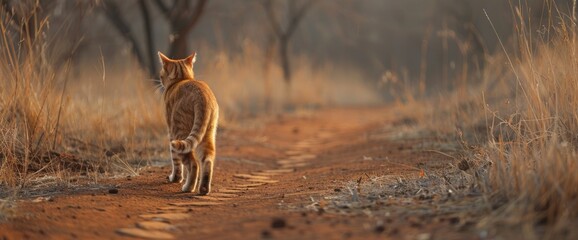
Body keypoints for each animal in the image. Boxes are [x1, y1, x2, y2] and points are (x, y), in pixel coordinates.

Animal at [158, 51, 218, 195]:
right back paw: (203, 189)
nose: (160, 80)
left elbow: (175, 162)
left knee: (193, 164)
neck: (182, 79)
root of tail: (201, 96)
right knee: (207, 161)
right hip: (208, 135)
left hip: (179, 134)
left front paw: (175, 179)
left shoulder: (171, 133)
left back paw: (188, 188)